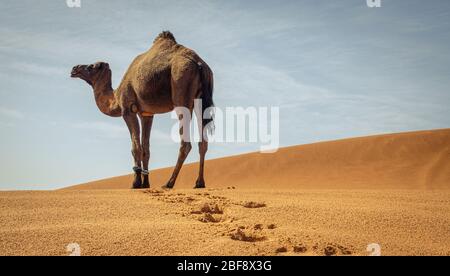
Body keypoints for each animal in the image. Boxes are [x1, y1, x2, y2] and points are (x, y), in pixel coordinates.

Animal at [71, 30, 214, 190]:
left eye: (91, 66)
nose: (74, 69)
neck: (116, 97)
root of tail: (199, 64)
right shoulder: (146, 114)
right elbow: (146, 149)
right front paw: (146, 183)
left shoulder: (128, 109)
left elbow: (136, 147)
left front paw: (136, 183)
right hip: (200, 99)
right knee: (203, 142)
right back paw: (199, 182)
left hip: (181, 87)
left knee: (186, 143)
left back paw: (169, 182)